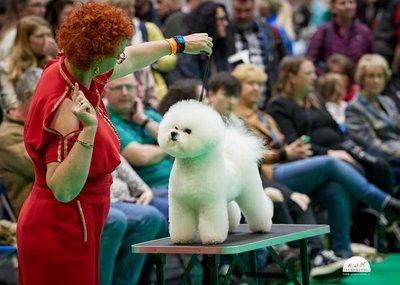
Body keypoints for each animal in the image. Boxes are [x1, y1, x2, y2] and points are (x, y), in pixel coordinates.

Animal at [158, 98, 274, 243]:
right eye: (175, 127)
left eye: (188, 131)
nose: (173, 133)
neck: (190, 168)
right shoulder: (181, 205)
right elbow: (182, 223)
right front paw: (182, 239)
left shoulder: (211, 203)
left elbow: (212, 222)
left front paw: (213, 239)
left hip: (250, 191)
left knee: (258, 208)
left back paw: (262, 227)